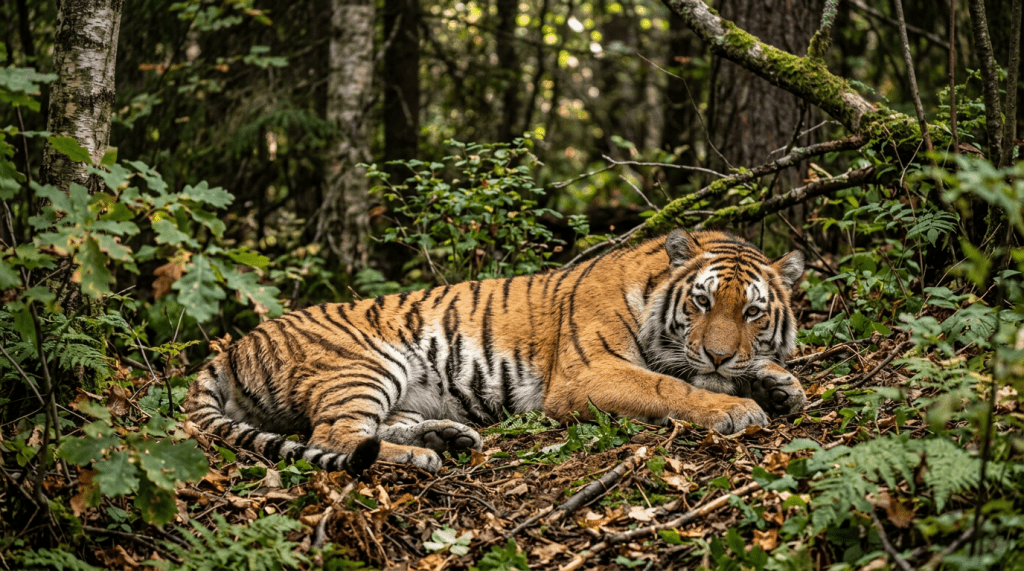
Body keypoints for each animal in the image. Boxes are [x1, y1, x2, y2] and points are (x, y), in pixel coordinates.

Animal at [183, 229, 807, 475]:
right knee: (334, 437)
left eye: (752, 312)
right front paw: (735, 406)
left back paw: (448, 437)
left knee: (367, 428)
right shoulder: (585, 375)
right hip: (364, 364)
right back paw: (420, 457)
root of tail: (233, 345)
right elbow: (669, 385)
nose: (720, 356)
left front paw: (780, 383)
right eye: (702, 302)